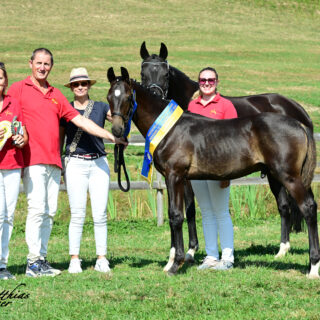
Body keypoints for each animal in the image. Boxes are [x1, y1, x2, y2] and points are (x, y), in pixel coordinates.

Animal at [108, 67, 320, 278]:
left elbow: (177, 215)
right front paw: (169, 262)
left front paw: (176, 264)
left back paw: (313, 267)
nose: (117, 129)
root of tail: (300, 124)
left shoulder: (175, 175)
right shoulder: (172, 179)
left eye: (128, 97)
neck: (169, 129)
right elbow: (171, 214)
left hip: (289, 177)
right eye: (109, 97)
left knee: (308, 208)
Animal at [141, 40, 316, 260]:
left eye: (165, 74)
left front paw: (190, 250)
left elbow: (188, 209)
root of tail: (298, 110)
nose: (154, 96)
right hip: (275, 174)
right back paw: (282, 249)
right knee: (284, 207)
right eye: (143, 73)